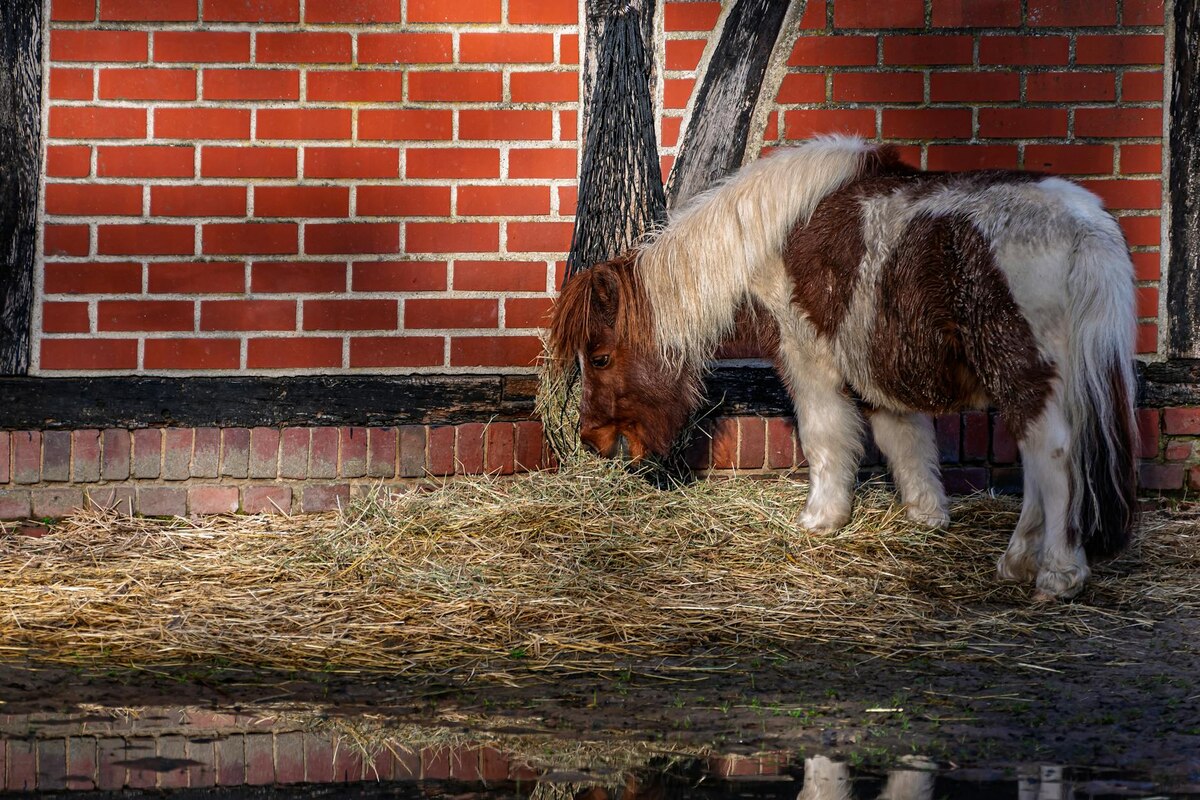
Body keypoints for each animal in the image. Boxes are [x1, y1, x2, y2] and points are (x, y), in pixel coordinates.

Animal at [549, 136, 1137, 601]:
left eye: (599, 357)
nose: (592, 439)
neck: (779, 233)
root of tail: (1085, 227)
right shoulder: (876, 364)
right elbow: (905, 441)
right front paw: (925, 516)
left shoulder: (806, 356)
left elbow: (826, 436)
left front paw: (820, 520)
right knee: (1038, 461)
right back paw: (1016, 563)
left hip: (1024, 374)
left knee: (1053, 458)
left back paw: (1056, 574)